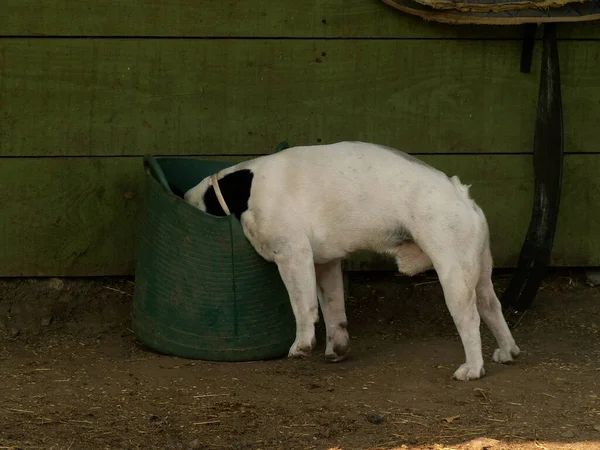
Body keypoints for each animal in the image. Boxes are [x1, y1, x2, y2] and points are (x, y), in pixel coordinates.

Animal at [185, 141, 516, 380]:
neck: (242, 190)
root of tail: (460, 194)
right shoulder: (325, 265)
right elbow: (333, 309)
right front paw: (337, 346)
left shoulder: (292, 255)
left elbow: (302, 306)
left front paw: (302, 344)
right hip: (478, 271)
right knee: (491, 306)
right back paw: (508, 350)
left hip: (453, 274)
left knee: (470, 319)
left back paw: (473, 368)